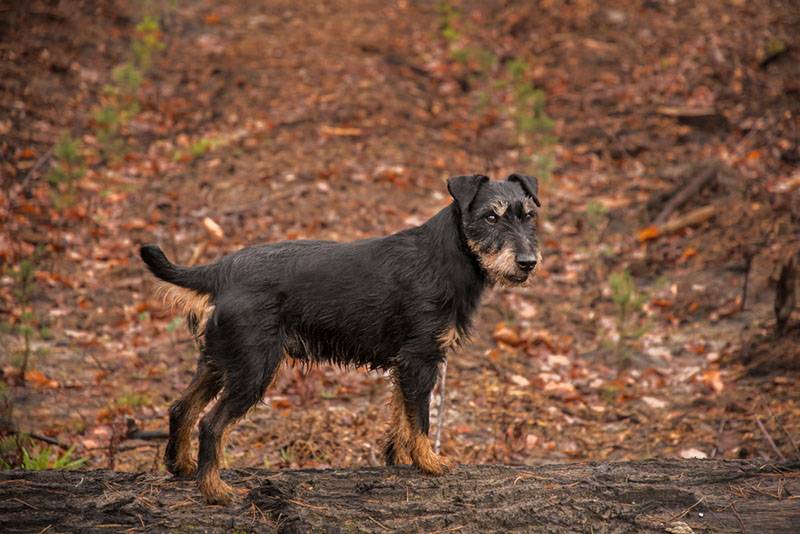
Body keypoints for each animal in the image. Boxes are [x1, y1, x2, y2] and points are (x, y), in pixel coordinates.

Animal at [142, 174, 544, 504]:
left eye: (528, 216)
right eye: (491, 217)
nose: (528, 262)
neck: (450, 256)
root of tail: (221, 271)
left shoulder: (405, 365)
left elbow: (401, 416)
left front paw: (399, 460)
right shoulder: (420, 360)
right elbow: (420, 419)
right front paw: (429, 463)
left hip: (219, 362)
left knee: (181, 408)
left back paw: (182, 467)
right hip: (253, 370)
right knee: (211, 424)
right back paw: (214, 490)